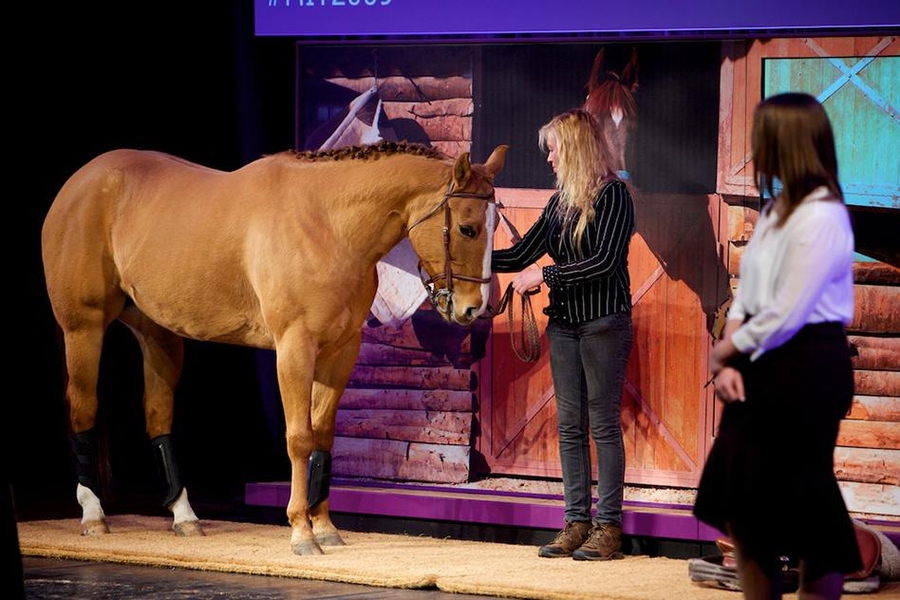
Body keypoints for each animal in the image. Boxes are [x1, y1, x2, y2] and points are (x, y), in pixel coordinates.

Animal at [41, 140, 508, 555]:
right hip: (84, 328)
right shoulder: (294, 348)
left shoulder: (340, 352)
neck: (327, 223)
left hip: (158, 334)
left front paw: (325, 528)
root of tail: (79, 183)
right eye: (467, 228)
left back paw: (184, 516)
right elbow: (299, 437)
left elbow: (323, 436)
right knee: (83, 407)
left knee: (157, 414)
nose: (473, 309)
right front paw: (301, 532)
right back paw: (93, 515)